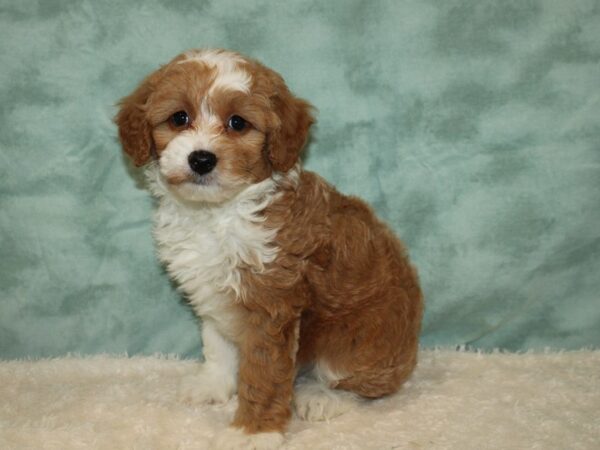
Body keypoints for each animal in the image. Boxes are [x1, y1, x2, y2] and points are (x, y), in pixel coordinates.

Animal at [115, 47, 424, 448]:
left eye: (238, 123)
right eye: (179, 118)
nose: (201, 158)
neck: (218, 213)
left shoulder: (272, 306)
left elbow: (264, 372)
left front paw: (254, 430)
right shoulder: (213, 293)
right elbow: (217, 345)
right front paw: (213, 385)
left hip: (364, 340)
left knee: (359, 384)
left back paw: (322, 397)